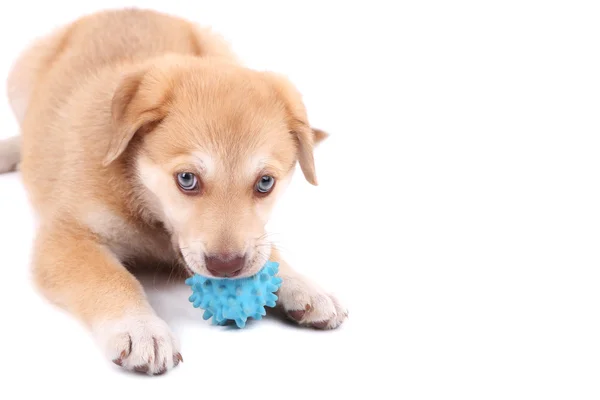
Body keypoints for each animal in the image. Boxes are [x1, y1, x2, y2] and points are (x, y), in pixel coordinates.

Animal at [1, 8, 346, 376]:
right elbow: (109, 277)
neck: (144, 200)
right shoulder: (65, 237)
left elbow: (269, 251)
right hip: (18, 79)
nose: (227, 268)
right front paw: (139, 327)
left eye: (265, 183)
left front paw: (306, 286)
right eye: (187, 179)